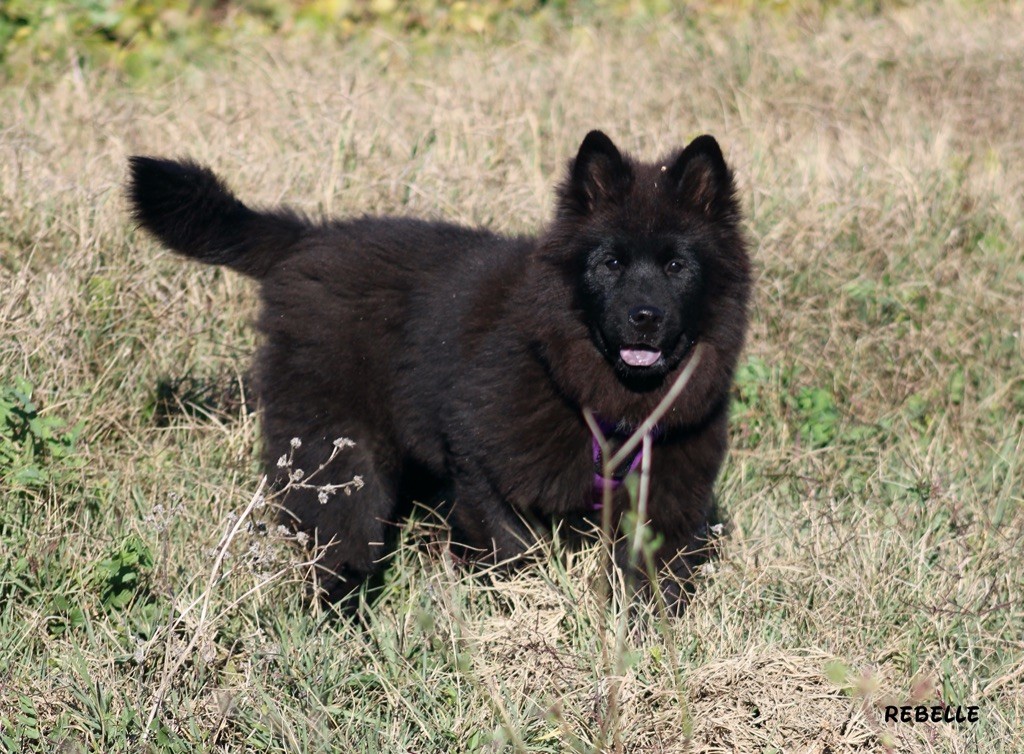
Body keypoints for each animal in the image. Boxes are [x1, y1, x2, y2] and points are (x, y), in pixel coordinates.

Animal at [130, 132, 753, 610]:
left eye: (676, 266)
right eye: (611, 263)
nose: (644, 318)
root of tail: (309, 238)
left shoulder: (665, 500)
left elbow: (650, 585)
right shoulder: (477, 460)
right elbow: (514, 549)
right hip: (335, 453)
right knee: (338, 540)